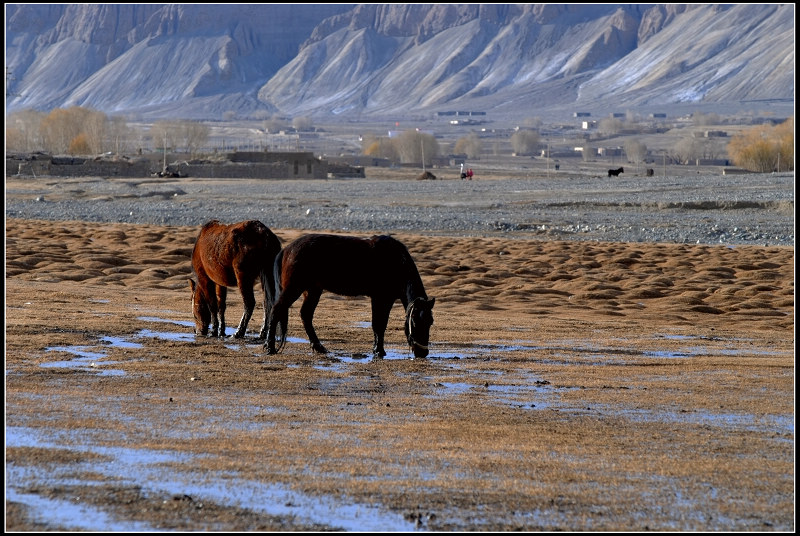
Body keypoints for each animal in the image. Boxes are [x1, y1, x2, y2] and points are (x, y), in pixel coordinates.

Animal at [266, 234, 434, 360]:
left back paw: (319, 347)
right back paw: (270, 347)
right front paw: (379, 351)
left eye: (430, 322)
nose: (423, 352)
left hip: (313, 291)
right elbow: (379, 324)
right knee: (276, 311)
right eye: (414, 321)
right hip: (294, 289)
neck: (396, 262)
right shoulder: (380, 298)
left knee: (305, 315)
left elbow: (380, 325)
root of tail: (287, 249)